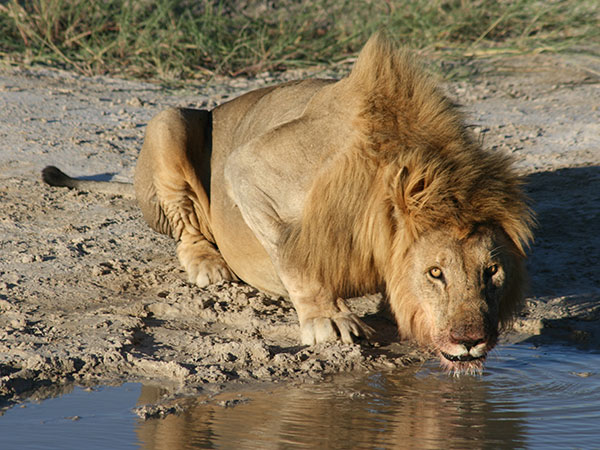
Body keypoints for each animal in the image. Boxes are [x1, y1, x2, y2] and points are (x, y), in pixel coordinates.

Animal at [45, 33, 536, 374]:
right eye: (436, 273)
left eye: (491, 271)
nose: (471, 340)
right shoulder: (248, 169)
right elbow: (295, 257)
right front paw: (328, 321)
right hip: (169, 121)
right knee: (188, 227)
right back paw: (209, 265)